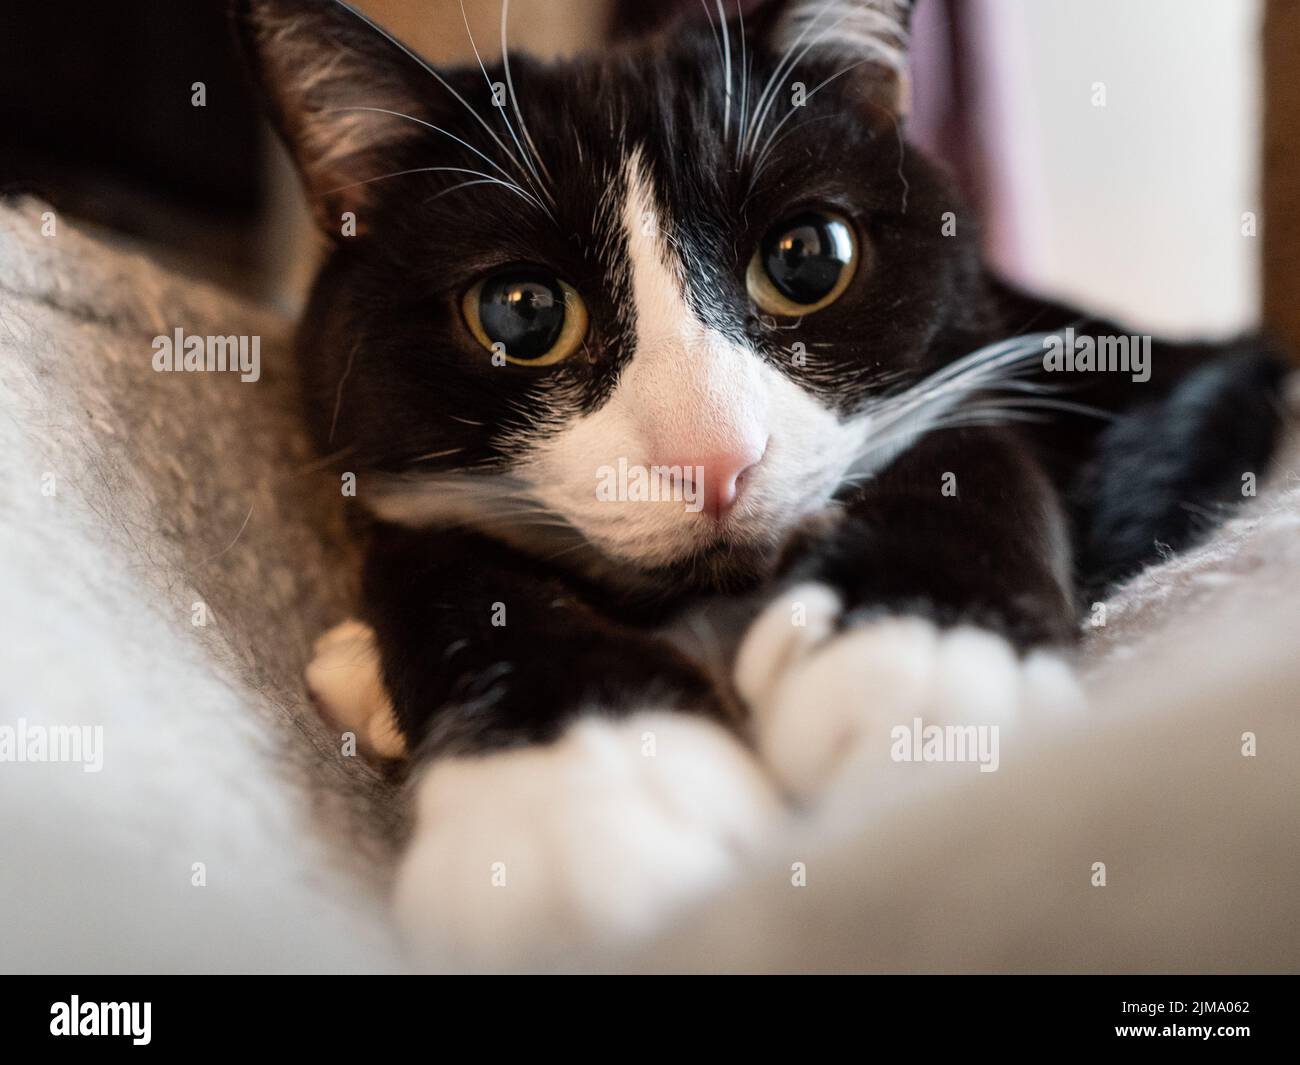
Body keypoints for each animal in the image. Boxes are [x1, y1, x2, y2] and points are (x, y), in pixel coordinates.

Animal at [236, 0, 1279, 967]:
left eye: (808, 258)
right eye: (520, 312)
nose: (714, 457)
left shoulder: (1161, 380)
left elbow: (974, 442)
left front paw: (917, 671)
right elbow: (438, 557)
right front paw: (576, 795)